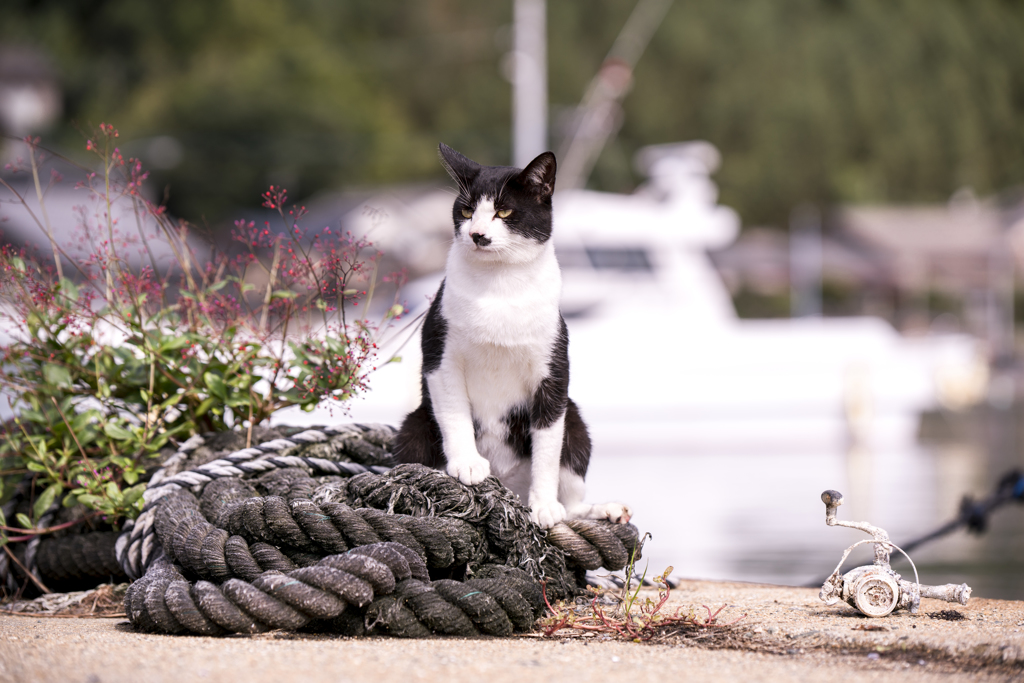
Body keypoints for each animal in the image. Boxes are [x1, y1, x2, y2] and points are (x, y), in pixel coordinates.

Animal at [391, 143, 630, 528]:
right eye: (467, 210)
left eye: (504, 211)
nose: (477, 234)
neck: (499, 283)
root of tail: (507, 493)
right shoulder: (441, 358)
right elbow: (455, 414)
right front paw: (467, 464)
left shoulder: (552, 375)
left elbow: (547, 448)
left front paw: (544, 505)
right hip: (413, 427)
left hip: (575, 420)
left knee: (572, 499)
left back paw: (602, 509)